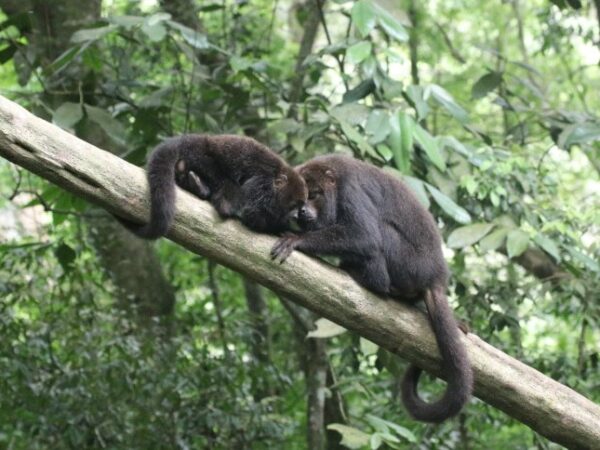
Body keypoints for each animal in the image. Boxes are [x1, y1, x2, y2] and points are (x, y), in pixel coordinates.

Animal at [117, 134, 308, 239]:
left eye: (300, 206)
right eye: (293, 205)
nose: (296, 215)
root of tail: (193, 139)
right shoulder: (262, 185)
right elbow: (252, 214)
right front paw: (283, 228)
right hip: (203, 156)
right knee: (227, 184)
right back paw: (220, 202)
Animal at [270, 154, 474, 422]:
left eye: (313, 195)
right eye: (299, 200)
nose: (302, 211)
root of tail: (436, 277)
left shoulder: (351, 192)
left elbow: (364, 236)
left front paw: (297, 239)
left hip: (410, 266)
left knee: (380, 234)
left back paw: (371, 279)